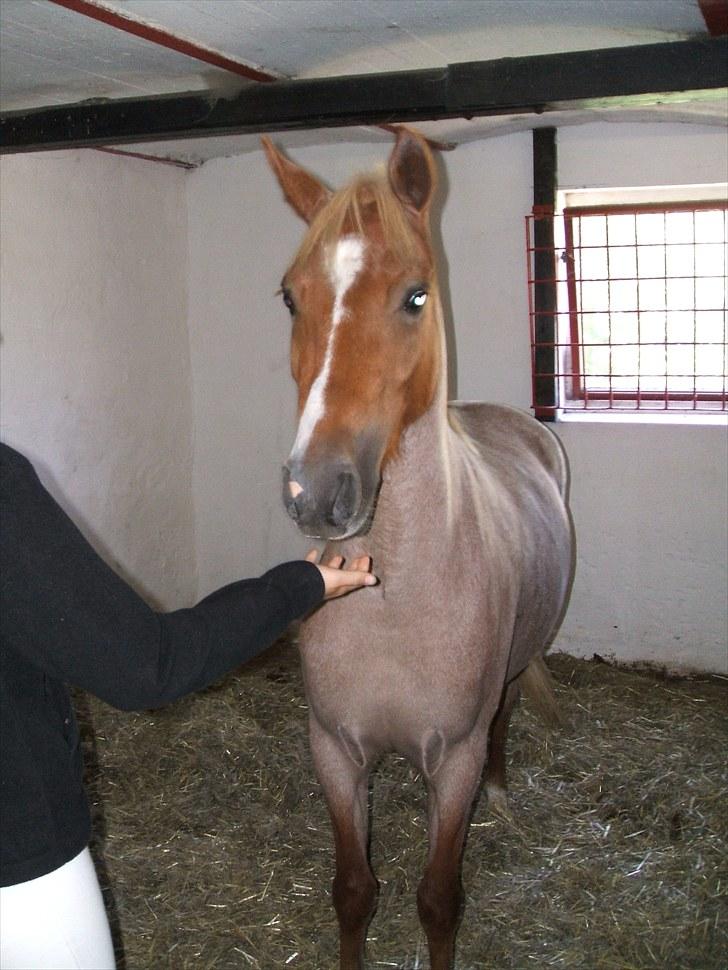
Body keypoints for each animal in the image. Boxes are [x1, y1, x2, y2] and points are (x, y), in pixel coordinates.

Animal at [262, 128, 573, 970]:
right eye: (290, 296)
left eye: (416, 296)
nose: (317, 490)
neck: (397, 596)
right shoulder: (335, 753)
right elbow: (354, 891)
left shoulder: (453, 757)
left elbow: (437, 901)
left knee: (503, 720)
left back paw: (503, 790)